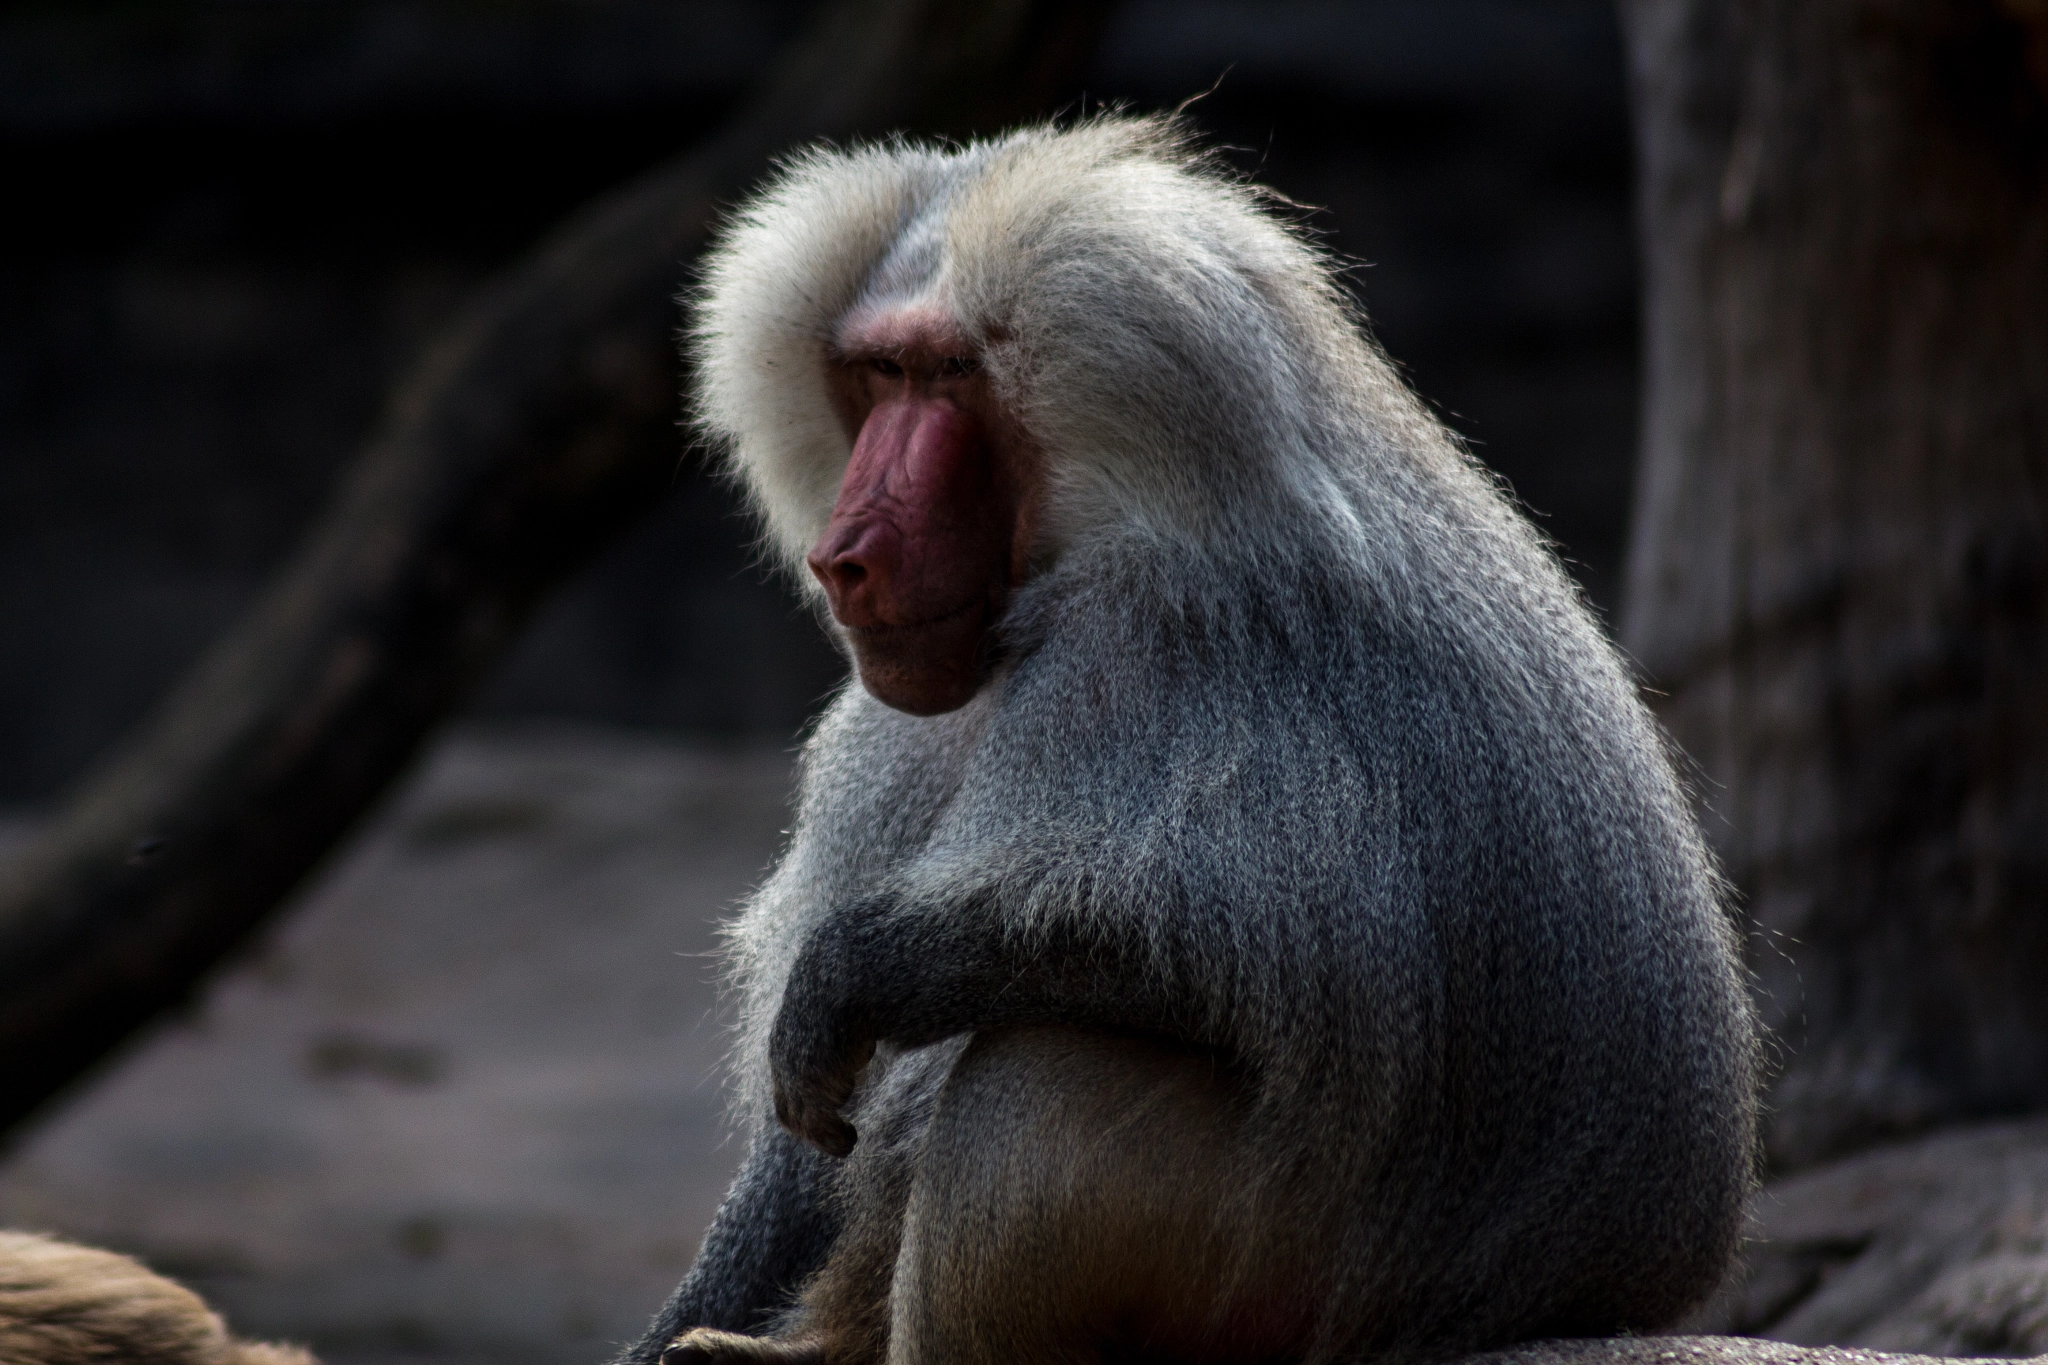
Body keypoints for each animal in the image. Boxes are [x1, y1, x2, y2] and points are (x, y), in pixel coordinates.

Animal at [623, 115, 1758, 1365]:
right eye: (877, 374)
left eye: (950, 374)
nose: (846, 558)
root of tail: (1598, 1294)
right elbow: (804, 1158)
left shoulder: (1153, 637)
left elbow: (1252, 938)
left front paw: (851, 973)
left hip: (1296, 1278)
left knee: (1029, 1085)